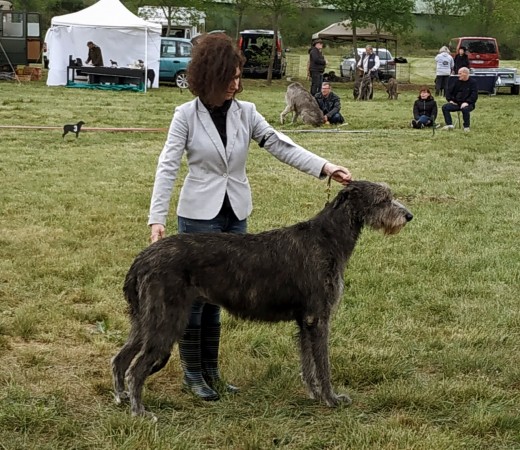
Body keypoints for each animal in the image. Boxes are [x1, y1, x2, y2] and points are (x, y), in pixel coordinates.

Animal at [111, 180, 412, 418]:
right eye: (383, 199)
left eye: (390, 194)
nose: (408, 215)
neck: (327, 238)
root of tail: (142, 258)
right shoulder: (318, 317)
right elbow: (323, 363)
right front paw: (331, 398)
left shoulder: (305, 320)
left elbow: (307, 363)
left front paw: (314, 394)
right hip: (167, 318)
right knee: (136, 369)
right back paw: (139, 411)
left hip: (145, 319)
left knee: (120, 358)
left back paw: (121, 397)